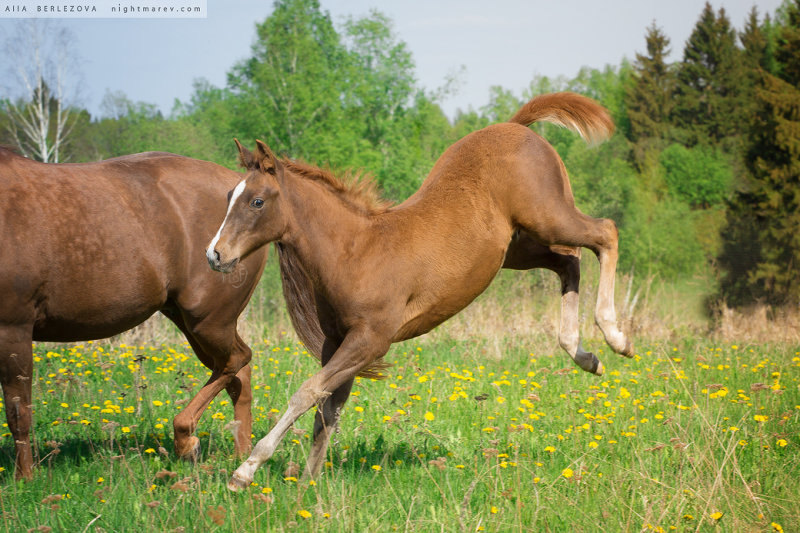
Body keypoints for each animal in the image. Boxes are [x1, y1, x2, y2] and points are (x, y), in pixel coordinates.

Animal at [0, 148, 268, 480]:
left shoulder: (13, 328)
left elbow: (18, 412)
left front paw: (24, 479)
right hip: (190, 320)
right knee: (237, 374)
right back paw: (241, 455)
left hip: (208, 320)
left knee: (236, 361)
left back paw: (188, 440)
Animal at [209, 92, 636, 490]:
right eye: (228, 197)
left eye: (257, 201)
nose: (215, 255)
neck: (355, 251)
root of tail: (516, 127)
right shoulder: (338, 342)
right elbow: (327, 409)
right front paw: (309, 485)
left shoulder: (370, 340)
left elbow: (307, 392)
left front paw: (246, 471)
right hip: (516, 249)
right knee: (568, 263)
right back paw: (584, 355)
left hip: (547, 217)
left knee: (604, 233)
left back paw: (615, 335)